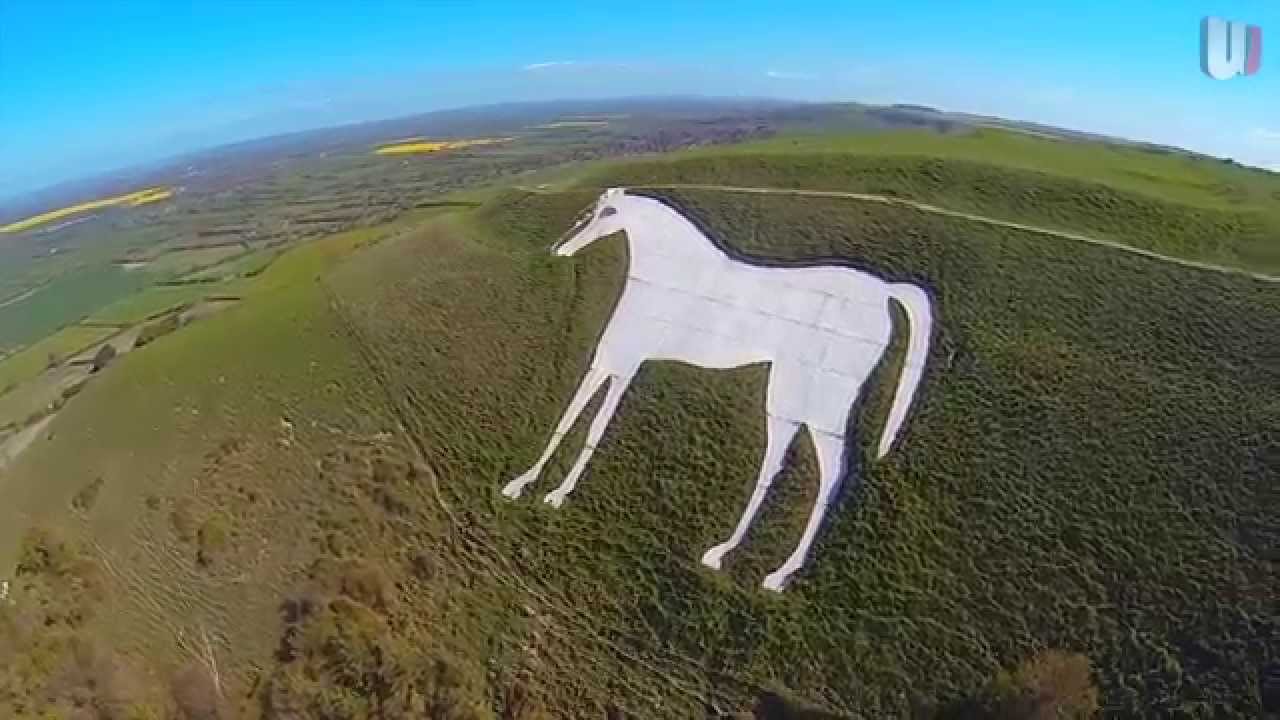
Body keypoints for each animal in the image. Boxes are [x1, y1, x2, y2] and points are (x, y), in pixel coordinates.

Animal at [502, 188, 933, 591]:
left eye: (606, 213)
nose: (559, 248)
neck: (668, 271)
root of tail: (885, 292)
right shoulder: (614, 362)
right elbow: (571, 417)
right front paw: (522, 484)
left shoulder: (625, 363)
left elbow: (594, 426)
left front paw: (557, 494)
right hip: (794, 402)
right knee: (781, 465)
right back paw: (734, 556)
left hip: (813, 404)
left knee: (829, 472)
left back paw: (771, 572)